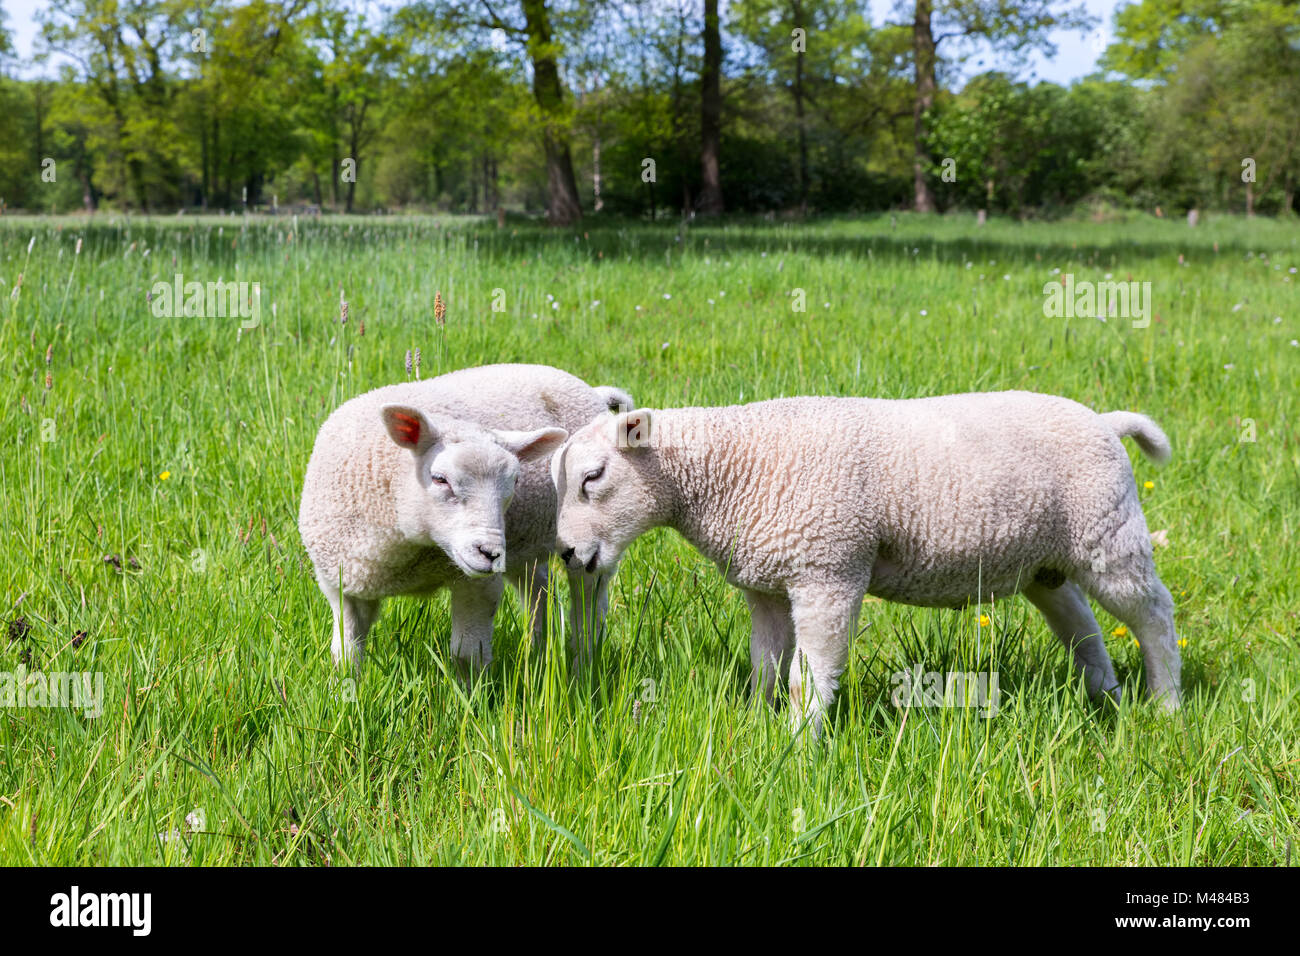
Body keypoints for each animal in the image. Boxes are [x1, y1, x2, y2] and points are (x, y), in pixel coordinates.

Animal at [300, 361, 634, 676]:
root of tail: (593, 392)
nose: (490, 553)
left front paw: (472, 697)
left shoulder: (477, 584)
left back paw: (583, 666)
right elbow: (345, 655)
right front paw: (346, 693)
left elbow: (467, 656)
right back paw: (539, 655)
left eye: (515, 482)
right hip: (523, 545)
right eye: (439, 479)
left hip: (592, 534)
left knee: (589, 606)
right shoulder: (341, 584)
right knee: (541, 592)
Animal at [553, 392, 1185, 738]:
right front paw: (758, 726)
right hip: (1045, 560)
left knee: (1154, 615)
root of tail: (1105, 420)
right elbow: (765, 667)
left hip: (1109, 534)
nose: (567, 553)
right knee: (1080, 620)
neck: (730, 469)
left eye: (593, 477)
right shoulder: (768, 584)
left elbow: (807, 679)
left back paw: (1166, 704)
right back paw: (1106, 694)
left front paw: (799, 747)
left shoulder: (828, 571)